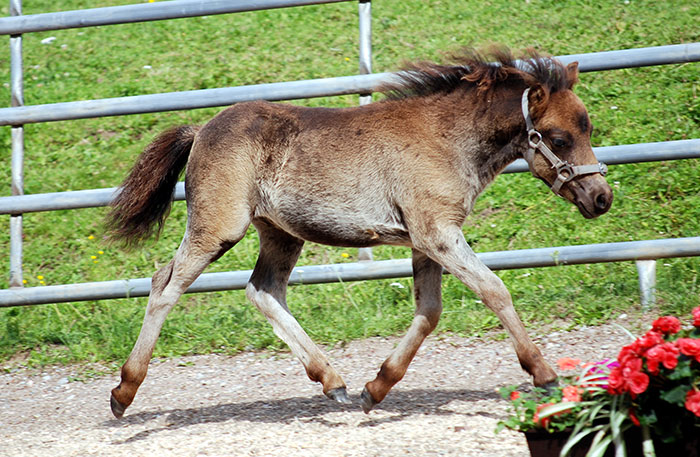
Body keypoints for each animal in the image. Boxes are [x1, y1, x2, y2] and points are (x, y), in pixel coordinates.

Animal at [105, 49, 612, 416]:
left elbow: (429, 311)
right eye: (560, 138)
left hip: (281, 233)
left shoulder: (426, 240)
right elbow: (494, 290)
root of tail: (201, 128)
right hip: (218, 228)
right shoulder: (438, 234)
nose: (602, 197)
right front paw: (544, 374)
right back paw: (123, 392)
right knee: (165, 284)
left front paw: (377, 387)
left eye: (588, 128)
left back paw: (335, 383)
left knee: (263, 290)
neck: (446, 138)